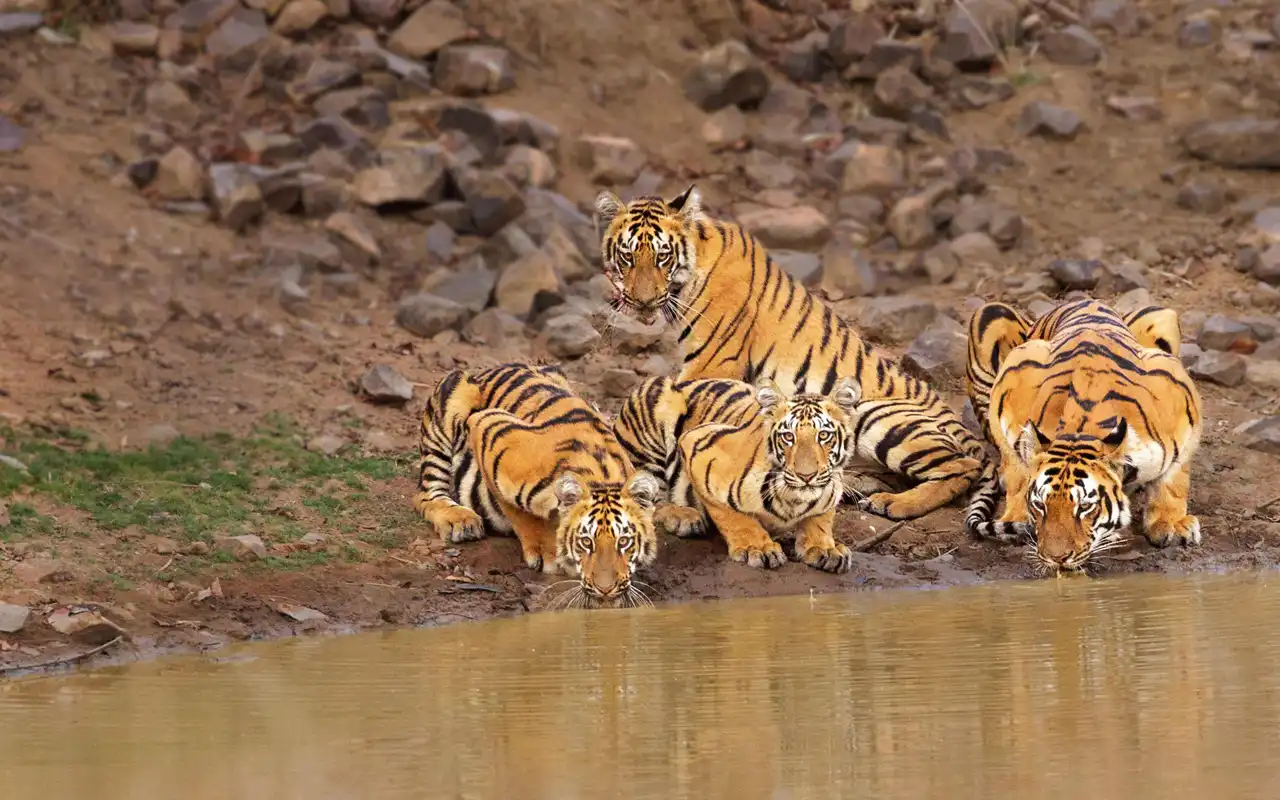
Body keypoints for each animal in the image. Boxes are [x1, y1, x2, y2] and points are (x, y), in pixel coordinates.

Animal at [413, 362, 661, 608]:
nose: (606, 590)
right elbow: (518, 513)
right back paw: (460, 521)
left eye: (625, 542)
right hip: (453, 394)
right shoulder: (487, 427)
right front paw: (544, 552)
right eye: (586, 542)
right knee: (425, 494)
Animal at [595, 185, 986, 523]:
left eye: (663, 256)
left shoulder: (711, 363)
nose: (643, 302)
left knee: (964, 466)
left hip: (877, 415)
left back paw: (893, 504)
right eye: (627, 256)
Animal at [614, 374, 861, 573]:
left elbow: (821, 518)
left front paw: (825, 548)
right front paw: (757, 547)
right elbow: (732, 515)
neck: (793, 500)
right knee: (646, 500)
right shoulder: (698, 448)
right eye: (788, 437)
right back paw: (684, 516)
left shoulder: (832, 485)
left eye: (824, 435)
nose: (806, 476)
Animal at [963, 298, 1203, 572]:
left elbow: (1173, 479)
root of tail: (1086, 300)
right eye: (1040, 505)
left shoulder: (1180, 396)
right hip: (989, 314)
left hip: (1159, 314)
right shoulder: (1012, 376)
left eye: (1085, 507)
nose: (1056, 557)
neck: (1081, 428)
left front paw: (1172, 525)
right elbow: (1016, 471)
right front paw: (1017, 518)